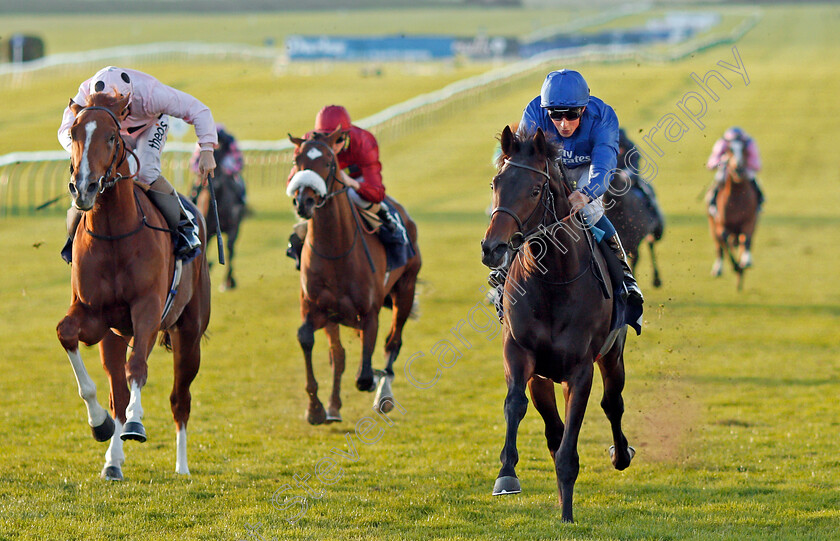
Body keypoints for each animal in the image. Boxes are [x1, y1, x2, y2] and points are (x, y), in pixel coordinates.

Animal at [55, 93, 210, 480]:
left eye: (112, 137)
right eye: (74, 133)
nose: (84, 187)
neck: (114, 233)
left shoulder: (147, 310)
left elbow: (137, 366)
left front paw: (136, 425)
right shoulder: (94, 316)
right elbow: (67, 334)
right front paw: (99, 424)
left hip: (189, 333)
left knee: (180, 398)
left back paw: (182, 466)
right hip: (114, 335)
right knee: (119, 394)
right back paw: (113, 462)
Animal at [288, 129, 420, 424]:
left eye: (328, 162)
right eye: (297, 161)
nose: (304, 202)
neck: (336, 252)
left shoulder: (369, 312)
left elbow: (364, 374)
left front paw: (373, 383)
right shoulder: (315, 308)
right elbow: (306, 339)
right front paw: (316, 408)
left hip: (405, 290)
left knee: (392, 342)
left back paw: (383, 393)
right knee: (339, 355)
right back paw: (334, 406)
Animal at [480, 124, 636, 520]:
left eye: (535, 189)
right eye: (495, 183)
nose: (492, 248)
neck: (553, 280)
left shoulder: (580, 369)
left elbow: (573, 434)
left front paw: (567, 514)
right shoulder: (520, 353)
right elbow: (516, 405)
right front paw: (506, 474)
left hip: (613, 354)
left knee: (613, 403)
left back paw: (621, 454)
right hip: (543, 375)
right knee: (553, 428)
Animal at [704, 137, 756, 288]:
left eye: (744, 149)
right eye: (729, 150)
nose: (738, 168)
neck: (737, 196)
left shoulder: (749, 220)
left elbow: (747, 239)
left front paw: (745, 262)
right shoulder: (722, 226)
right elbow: (725, 244)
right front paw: (736, 267)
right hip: (712, 224)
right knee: (719, 246)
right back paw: (718, 269)